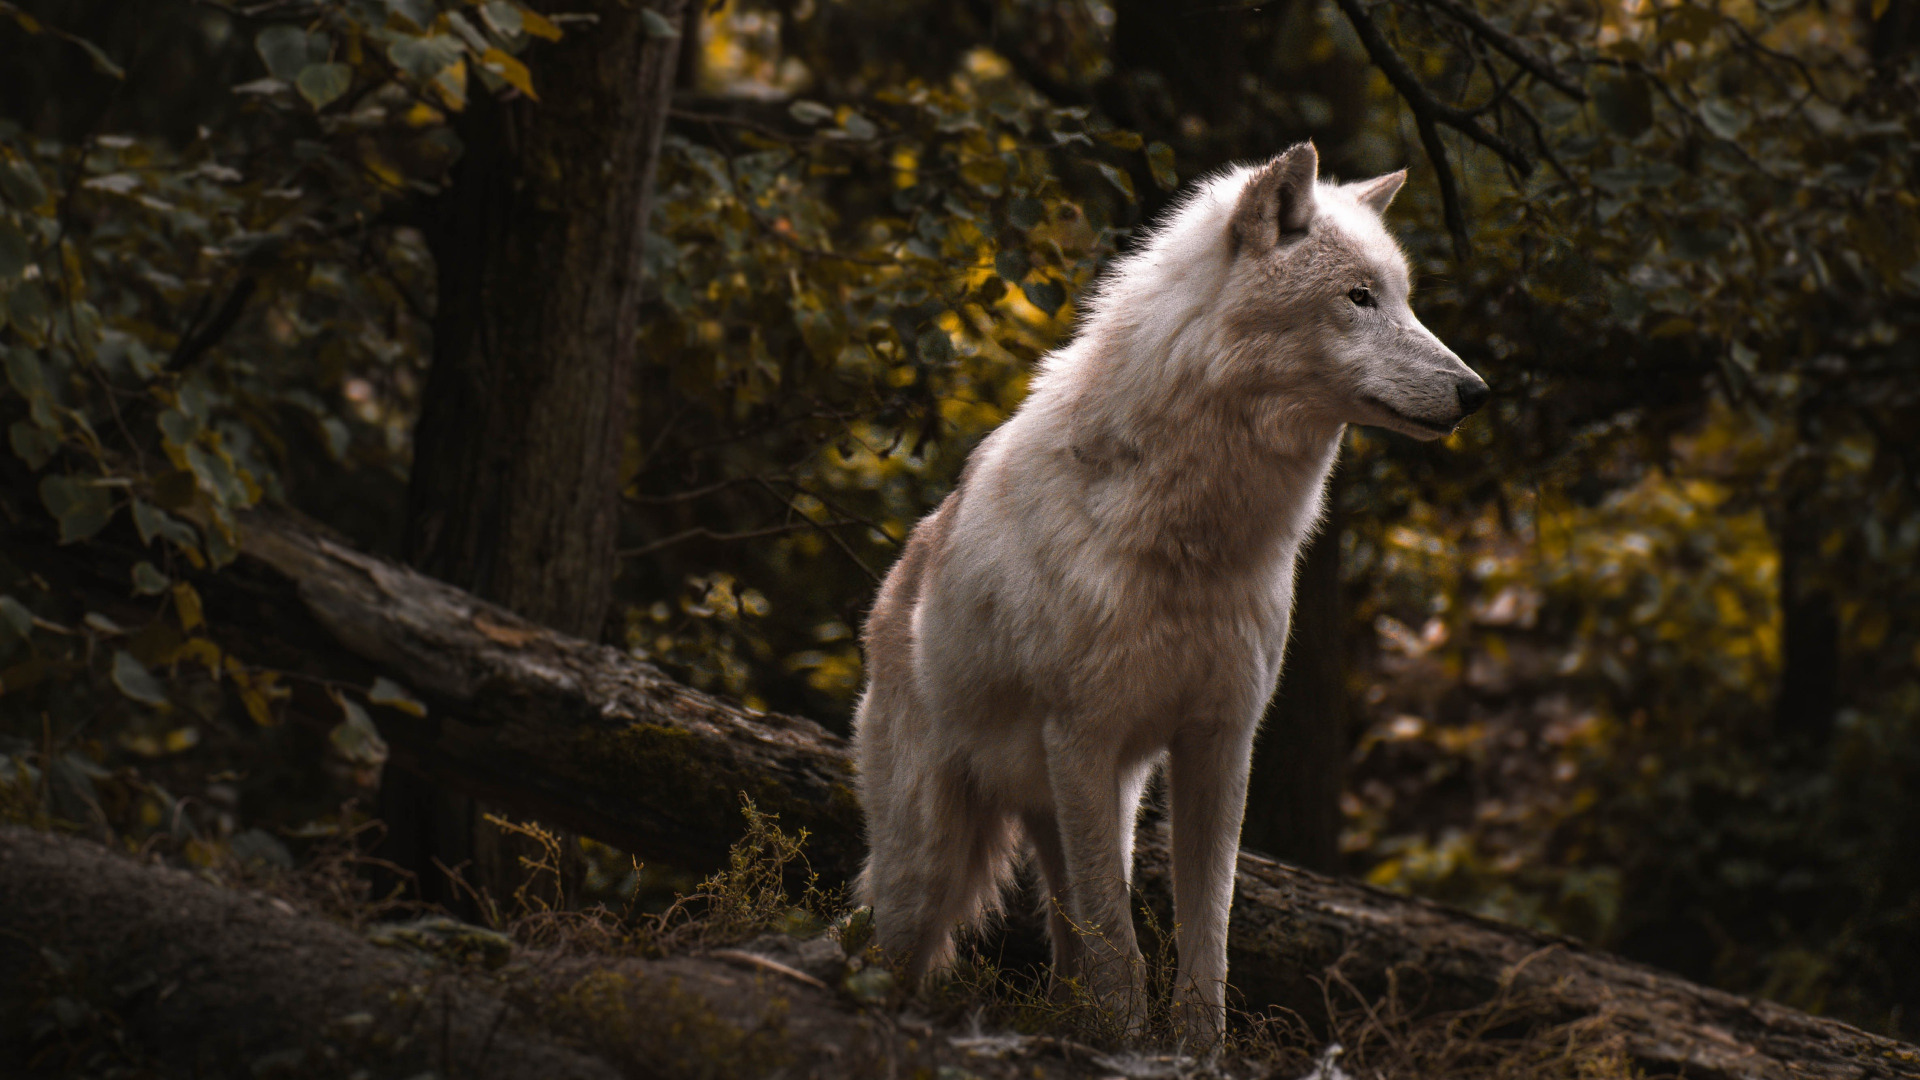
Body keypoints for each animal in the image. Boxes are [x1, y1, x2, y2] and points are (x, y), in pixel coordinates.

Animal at [848, 143, 1489, 1037]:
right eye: (1359, 297)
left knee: (1065, 943)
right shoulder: (1080, 737)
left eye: (1403, 298)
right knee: (894, 938)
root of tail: (893, 588)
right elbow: (1120, 945)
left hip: (1093, 812)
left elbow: (1205, 935)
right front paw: (1127, 1041)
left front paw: (1194, 1048)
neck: (1196, 542)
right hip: (934, 861)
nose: (1477, 392)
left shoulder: (1221, 741)